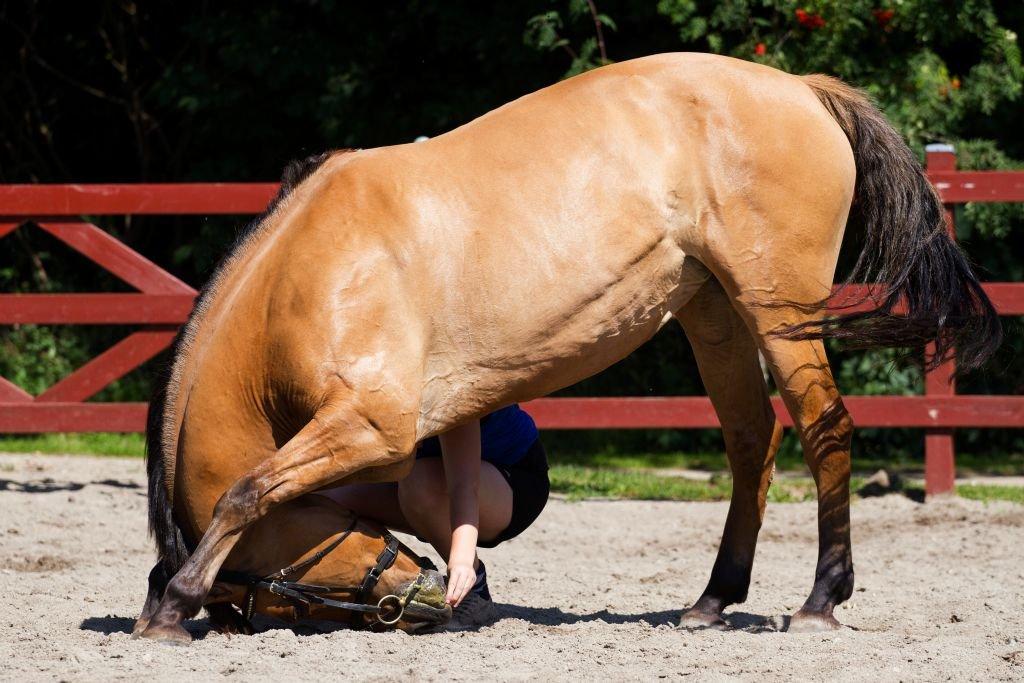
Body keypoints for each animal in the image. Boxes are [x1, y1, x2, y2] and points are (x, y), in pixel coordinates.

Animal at [132, 54, 995, 647]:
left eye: (264, 590)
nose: (417, 600)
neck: (302, 274)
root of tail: (803, 88)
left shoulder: (374, 425)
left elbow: (247, 490)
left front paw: (172, 602)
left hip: (778, 308)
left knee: (823, 431)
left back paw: (820, 598)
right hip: (713, 313)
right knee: (753, 443)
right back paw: (711, 599)